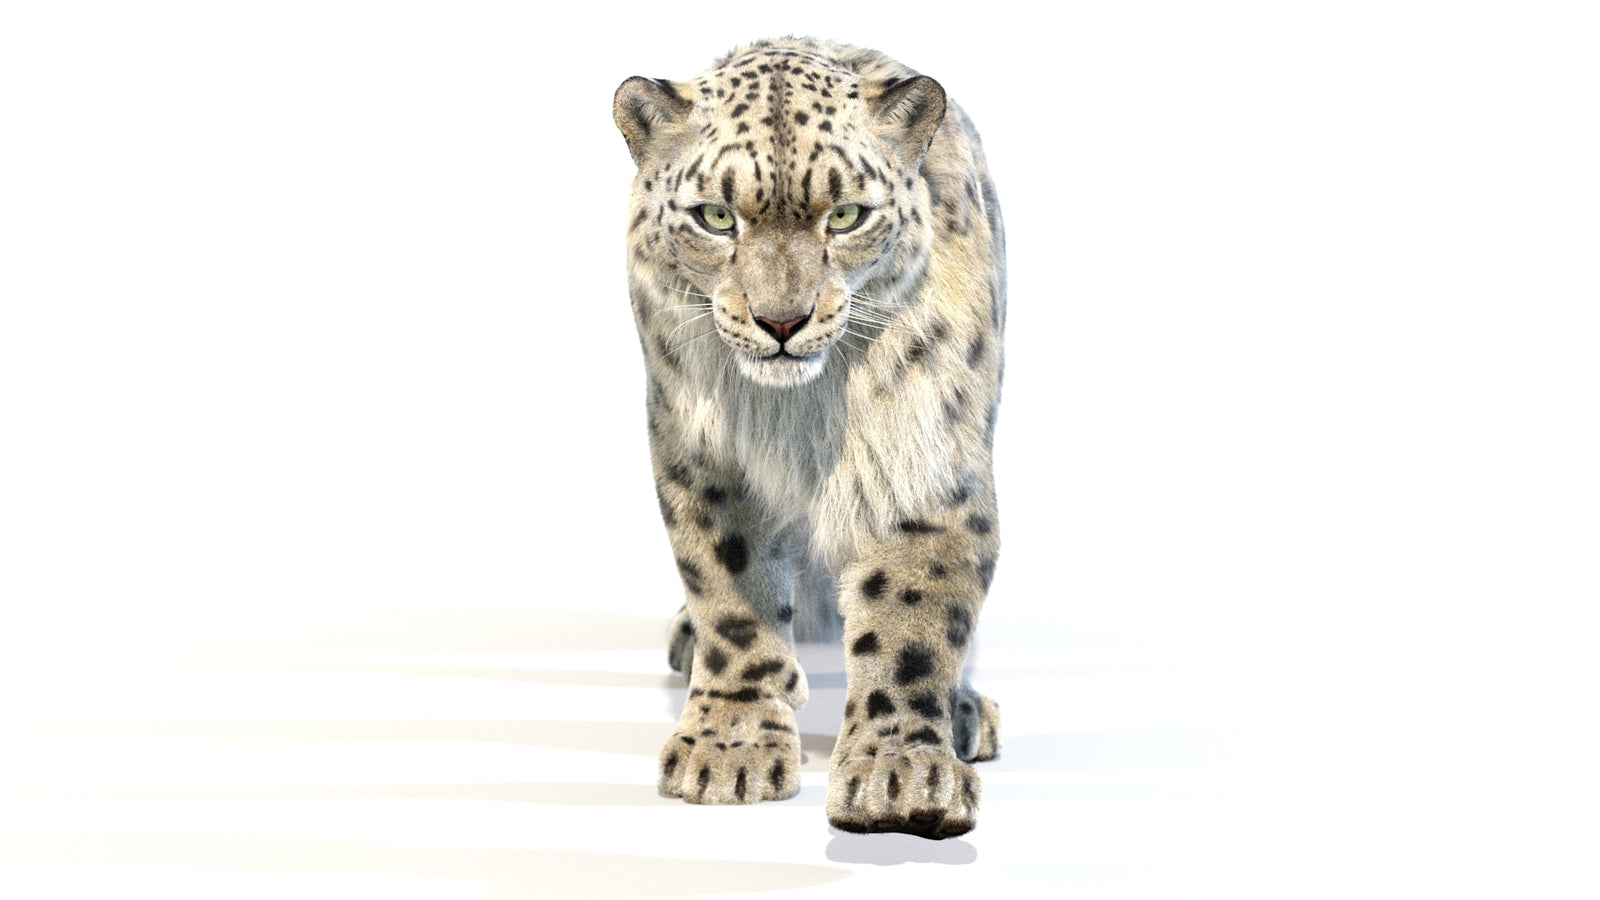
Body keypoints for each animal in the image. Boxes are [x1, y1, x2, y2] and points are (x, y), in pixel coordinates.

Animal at [613, 37, 1006, 839]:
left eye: (846, 215)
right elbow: (731, 592)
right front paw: (729, 746)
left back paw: (963, 711)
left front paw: (901, 777)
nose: (782, 321)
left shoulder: (924, 457)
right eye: (716, 217)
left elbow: (913, 619)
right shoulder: (705, 457)